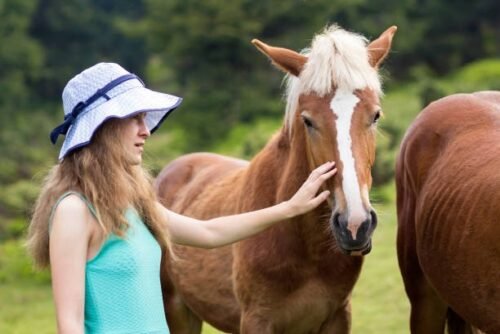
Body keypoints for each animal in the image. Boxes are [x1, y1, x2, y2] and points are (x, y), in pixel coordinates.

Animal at [156, 24, 398, 332]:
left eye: (375, 115)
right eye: (308, 120)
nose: (355, 225)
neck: (307, 248)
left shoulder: (339, 316)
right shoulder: (257, 320)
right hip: (177, 310)